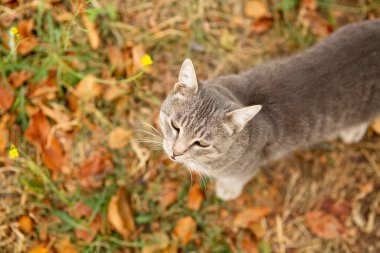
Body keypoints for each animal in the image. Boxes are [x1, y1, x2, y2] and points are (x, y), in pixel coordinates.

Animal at [158, 19, 380, 201]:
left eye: (202, 143)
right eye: (175, 126)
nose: (175, 153)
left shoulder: (246, 169)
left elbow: (236, 179)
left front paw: (228, 190)